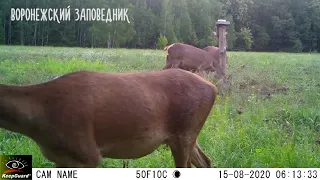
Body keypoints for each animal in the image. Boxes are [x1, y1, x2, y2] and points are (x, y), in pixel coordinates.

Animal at [0, 68, 218, 167]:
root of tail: (213, 88)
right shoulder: (59, 159)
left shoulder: (88, 154)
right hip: (186, 136)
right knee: (206, 161)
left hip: (185, 133)